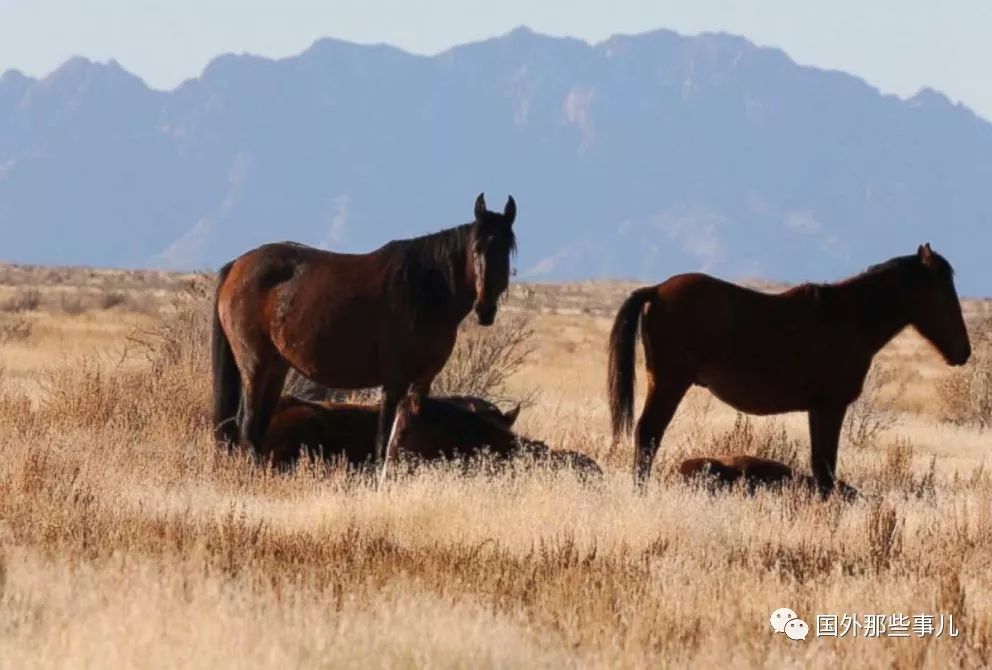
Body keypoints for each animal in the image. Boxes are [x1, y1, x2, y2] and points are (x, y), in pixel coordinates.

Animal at [211, 192, 520, 470]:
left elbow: (402, 434)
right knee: (247, 423)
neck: (426, 291)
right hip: (255, 364)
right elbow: (384, 439)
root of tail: (237, 265)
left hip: (277, 367)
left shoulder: (421, 382)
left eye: (506, 249)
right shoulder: (394, 381)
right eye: (476, 248)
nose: (485, 309)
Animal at [608, 244, 972, 496]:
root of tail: (656, 290)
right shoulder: (831, 406)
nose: (963, 352)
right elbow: (825, 467)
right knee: (648, 435)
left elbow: (821, 466)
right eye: (942, 294)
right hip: (670, 384)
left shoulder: (817, 409)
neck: (849, 319)